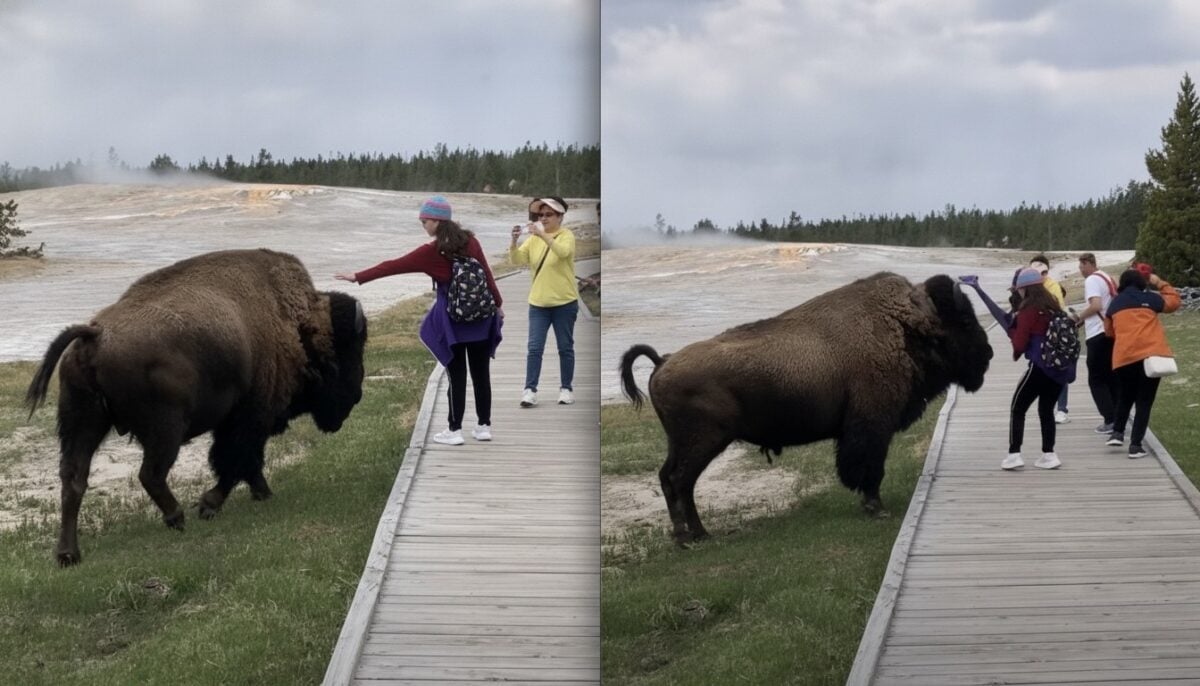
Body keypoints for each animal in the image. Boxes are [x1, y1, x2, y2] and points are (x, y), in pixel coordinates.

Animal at [26, 249, 368, 566]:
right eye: (346, 353)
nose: (356, 396)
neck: (296, 323)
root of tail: (95, 335)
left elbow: (245, 462)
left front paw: (262, 493)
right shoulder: (249, 417)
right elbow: (235, 461)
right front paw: (209, 505)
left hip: (83, 423)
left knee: (74, 479)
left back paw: (68, 554)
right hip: (165, 428)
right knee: (150, 473)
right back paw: (176, 517)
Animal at [620, 272, 993, 544]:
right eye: (965, 322)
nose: (988, 354)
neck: (905, 326)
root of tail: (663, 361)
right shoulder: (872, 426)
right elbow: (871, 469)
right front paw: (876, 508)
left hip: (681, 443)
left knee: (668, 478)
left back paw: (686, 535)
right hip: (704, 442)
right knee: (682, 481)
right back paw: (695, 536)